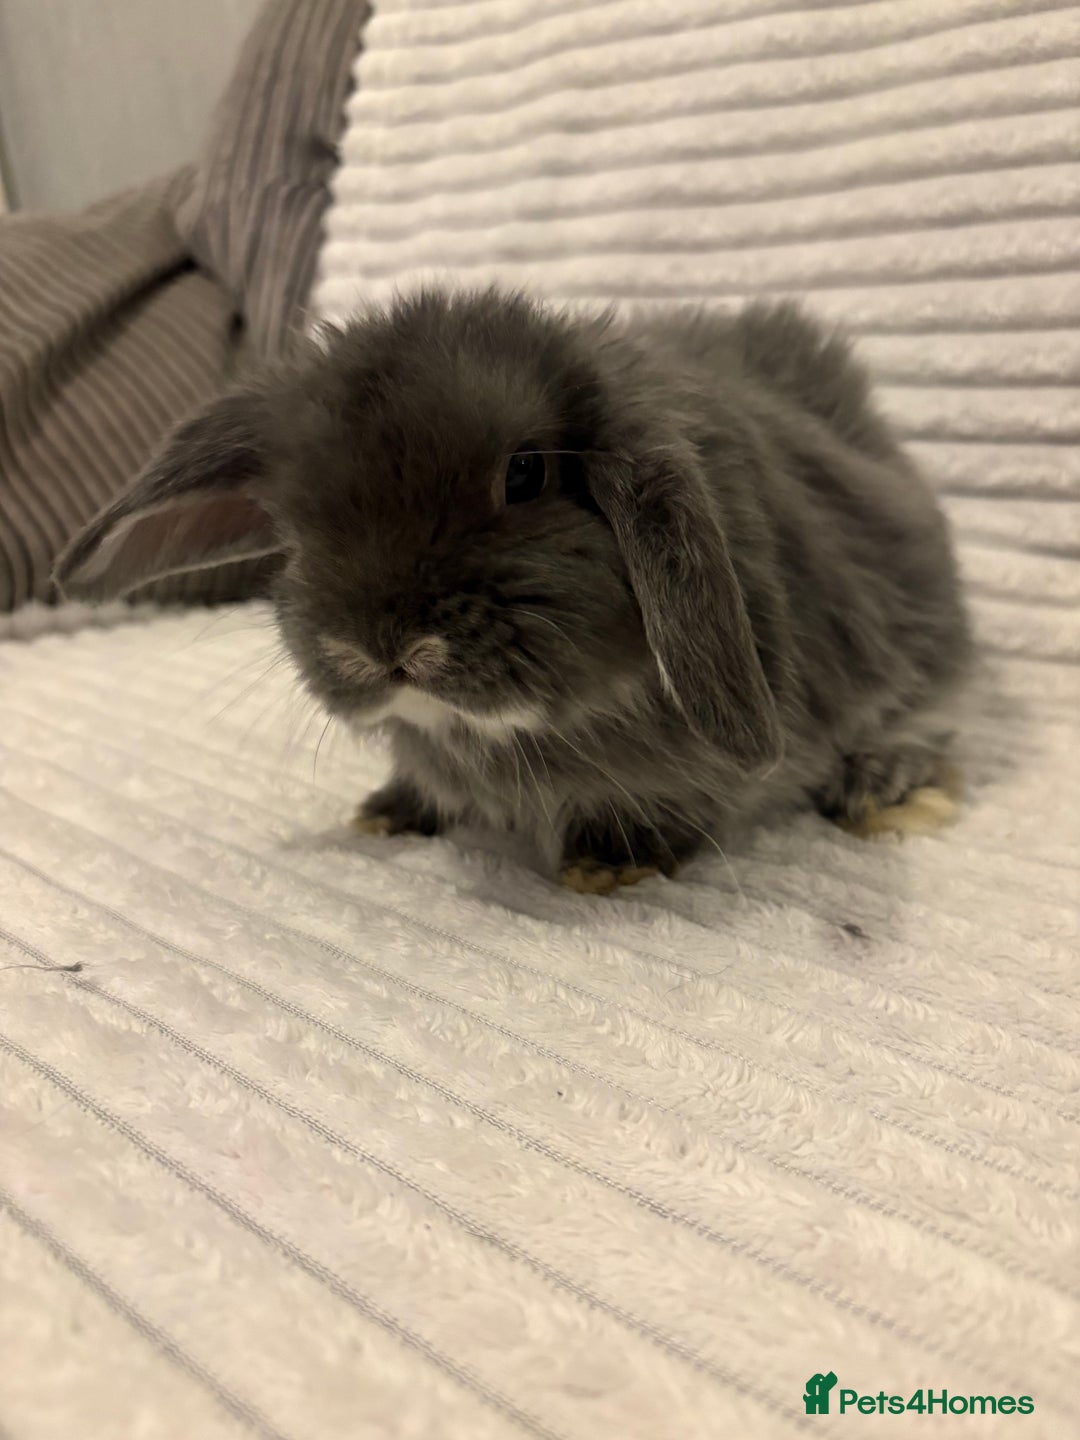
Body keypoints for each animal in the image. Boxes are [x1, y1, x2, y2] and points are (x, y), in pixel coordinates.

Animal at [55, 287, 972, 891]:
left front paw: (607, 863)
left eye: (525, 475)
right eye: (288, 523)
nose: (378, 648)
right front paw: (384, 812)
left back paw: (880, 788)